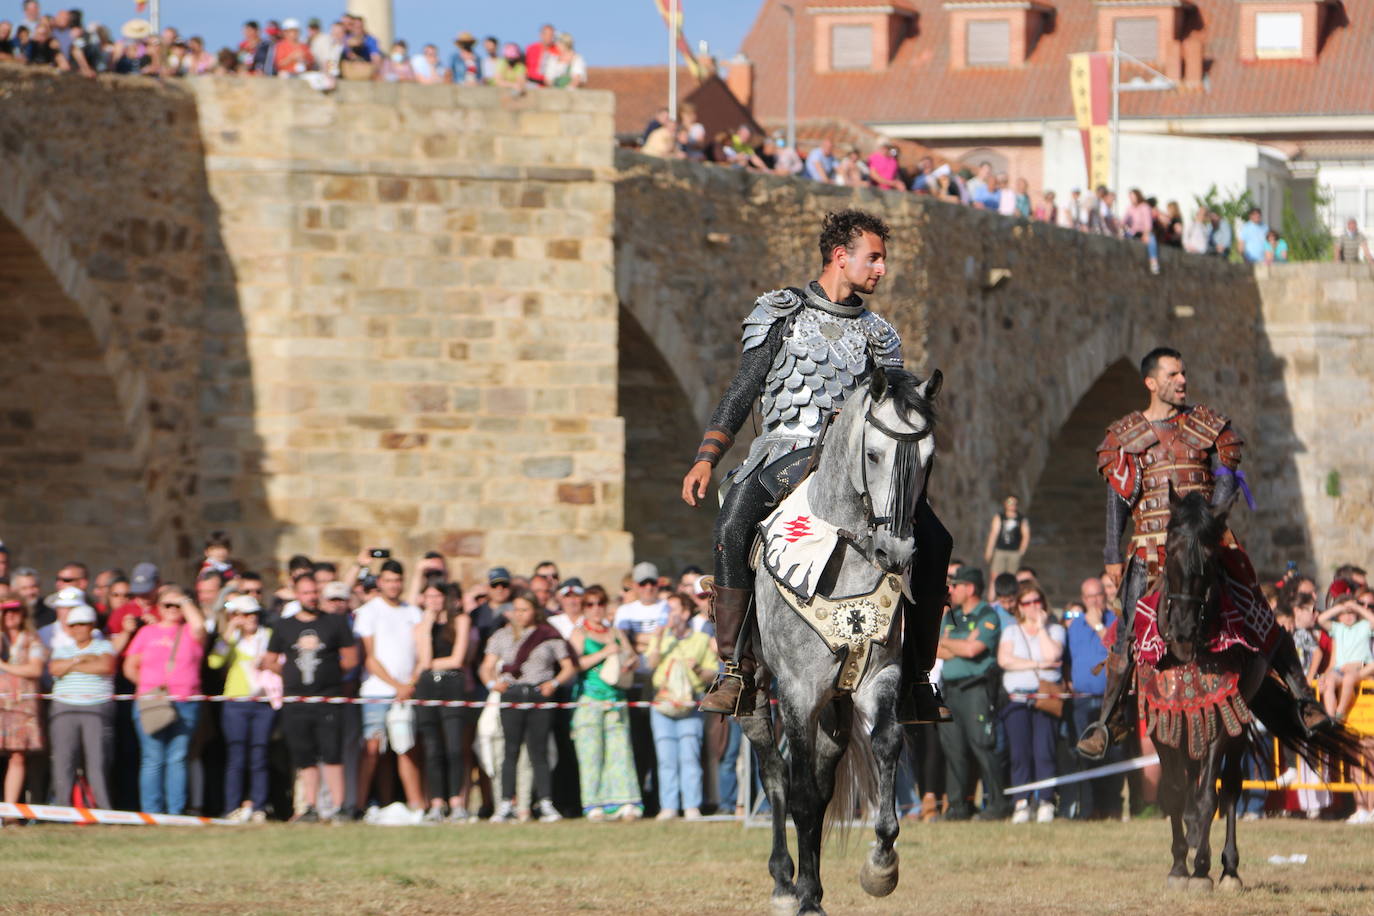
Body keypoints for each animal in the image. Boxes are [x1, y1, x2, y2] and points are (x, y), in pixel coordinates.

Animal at [741, 368, 945, 916]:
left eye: (928, 459)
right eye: (872, 454)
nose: (897, 552)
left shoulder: (878, 677)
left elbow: (887, 743)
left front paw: (881, 867)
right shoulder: (797, 691)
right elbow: (800, 794)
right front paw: (805, 897)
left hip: (837, 701)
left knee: (823, 779)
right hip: (758, 688)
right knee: (775, 770)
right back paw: (785, 881)